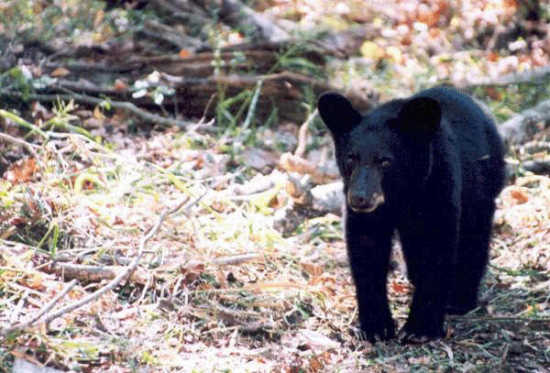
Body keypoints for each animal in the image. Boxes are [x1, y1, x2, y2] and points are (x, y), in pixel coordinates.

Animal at [320, 85, 504, 342]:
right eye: (351, 158)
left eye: (385, 161)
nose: (359, 197)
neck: (401, 194)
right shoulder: (367, 215)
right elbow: (366, 252)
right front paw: (376, 327)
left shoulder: (439, 183)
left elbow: (437, 250)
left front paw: (420, 329)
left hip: (482, 184)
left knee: (474, 236)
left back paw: (460, 299)